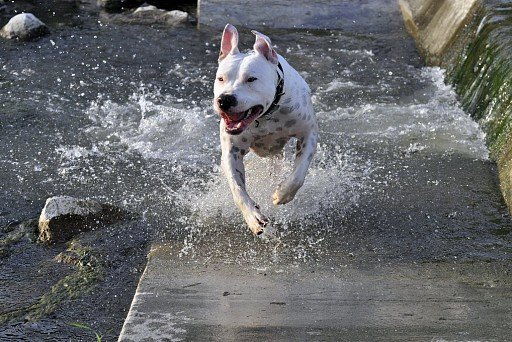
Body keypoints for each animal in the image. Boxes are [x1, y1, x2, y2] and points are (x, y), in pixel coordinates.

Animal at [211, 24, 316, 236]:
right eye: (221, 78)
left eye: (251, 79)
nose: (224, 99)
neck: (265, 117)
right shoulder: (232, 151)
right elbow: (237, 189)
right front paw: (253, 217)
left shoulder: (308, 134)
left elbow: (298, 174)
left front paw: (282, 194)